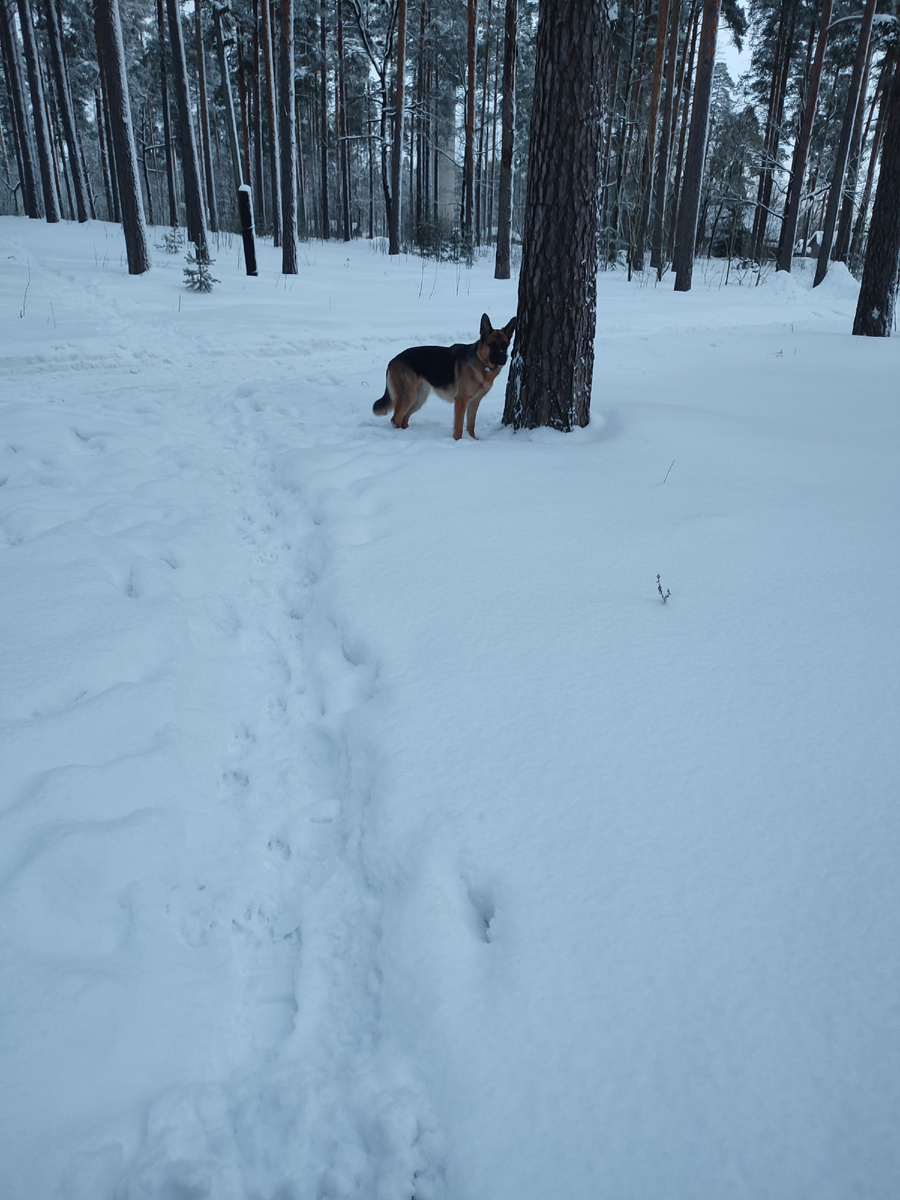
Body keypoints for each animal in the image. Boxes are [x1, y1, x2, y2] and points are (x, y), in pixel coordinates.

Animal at [372, 312, 513, 439]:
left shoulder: (474, 402)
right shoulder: (461, 401)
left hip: (419, 398)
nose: (503, 359)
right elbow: (459, 428)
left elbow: (471, 425)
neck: (481, 362)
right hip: (409, 396)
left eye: (505, 345)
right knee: (395, 418)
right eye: (492, 345)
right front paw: (458, 442)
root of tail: (393, 360)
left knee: (404, 418)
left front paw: (473, 440)